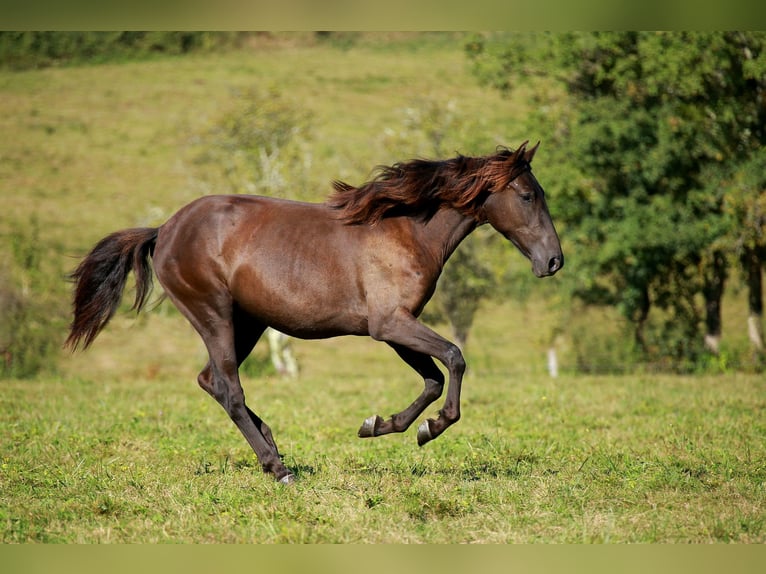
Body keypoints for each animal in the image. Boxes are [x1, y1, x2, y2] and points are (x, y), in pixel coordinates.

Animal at [66, 142, 564, 484]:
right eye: (527, 195)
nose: (554, 261)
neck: (406, 230)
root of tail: (164, 229)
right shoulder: (390, 323)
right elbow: (454, 358)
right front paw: (432, 427)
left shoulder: (393, 328)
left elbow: (432, 379)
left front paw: (384, 426)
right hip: (214, 314)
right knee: (228, 387)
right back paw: (277, 467)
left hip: (248, 322)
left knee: (213, 382)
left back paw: (273, 447)